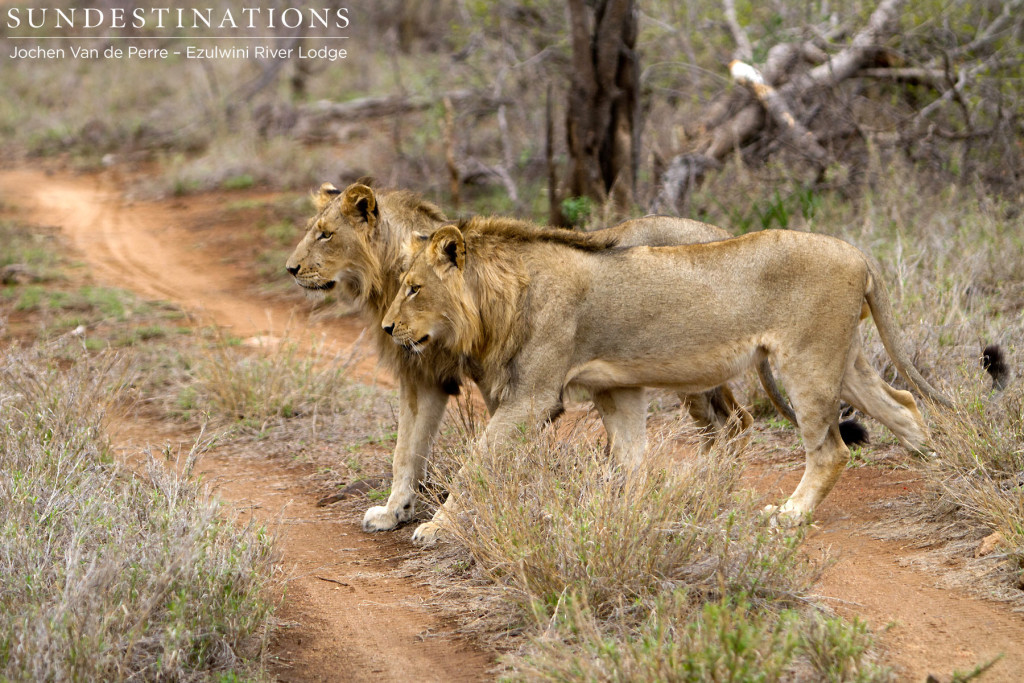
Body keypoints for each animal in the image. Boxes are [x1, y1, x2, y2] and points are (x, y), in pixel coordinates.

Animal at [282, 181, 806, 540]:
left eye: (325, 235)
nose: (290, 268)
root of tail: (723, 231)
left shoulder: (512, 387)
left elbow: (480, 459)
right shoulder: (425, 379)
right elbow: (406, 452)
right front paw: (394, 512)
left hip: (690, 367)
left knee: (733, 423)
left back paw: (707, 488)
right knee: (727, 424)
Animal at [382, 216, 950, 540]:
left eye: (413, 288)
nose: (387, 328)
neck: (501, 295)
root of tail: (858, 255)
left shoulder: (532, 396)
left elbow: (475, 467)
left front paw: (435, 527)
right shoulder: (617, 388)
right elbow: (630, 459)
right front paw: (626, 515)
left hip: (806, 361)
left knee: (830, 450)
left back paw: (790, 515)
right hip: (843, 360)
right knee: (904, 405)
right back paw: (939, 474)